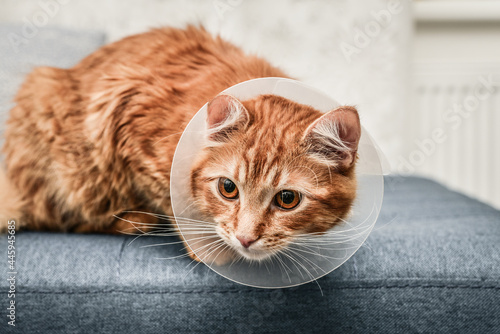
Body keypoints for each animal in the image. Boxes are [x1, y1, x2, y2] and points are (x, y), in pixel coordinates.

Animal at [0, 24, 360, 262]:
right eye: (228, 189)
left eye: (287, 199)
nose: (245, 239)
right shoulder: (124, 109)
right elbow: (177, 206)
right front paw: (209, 249)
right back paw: (136, 221)